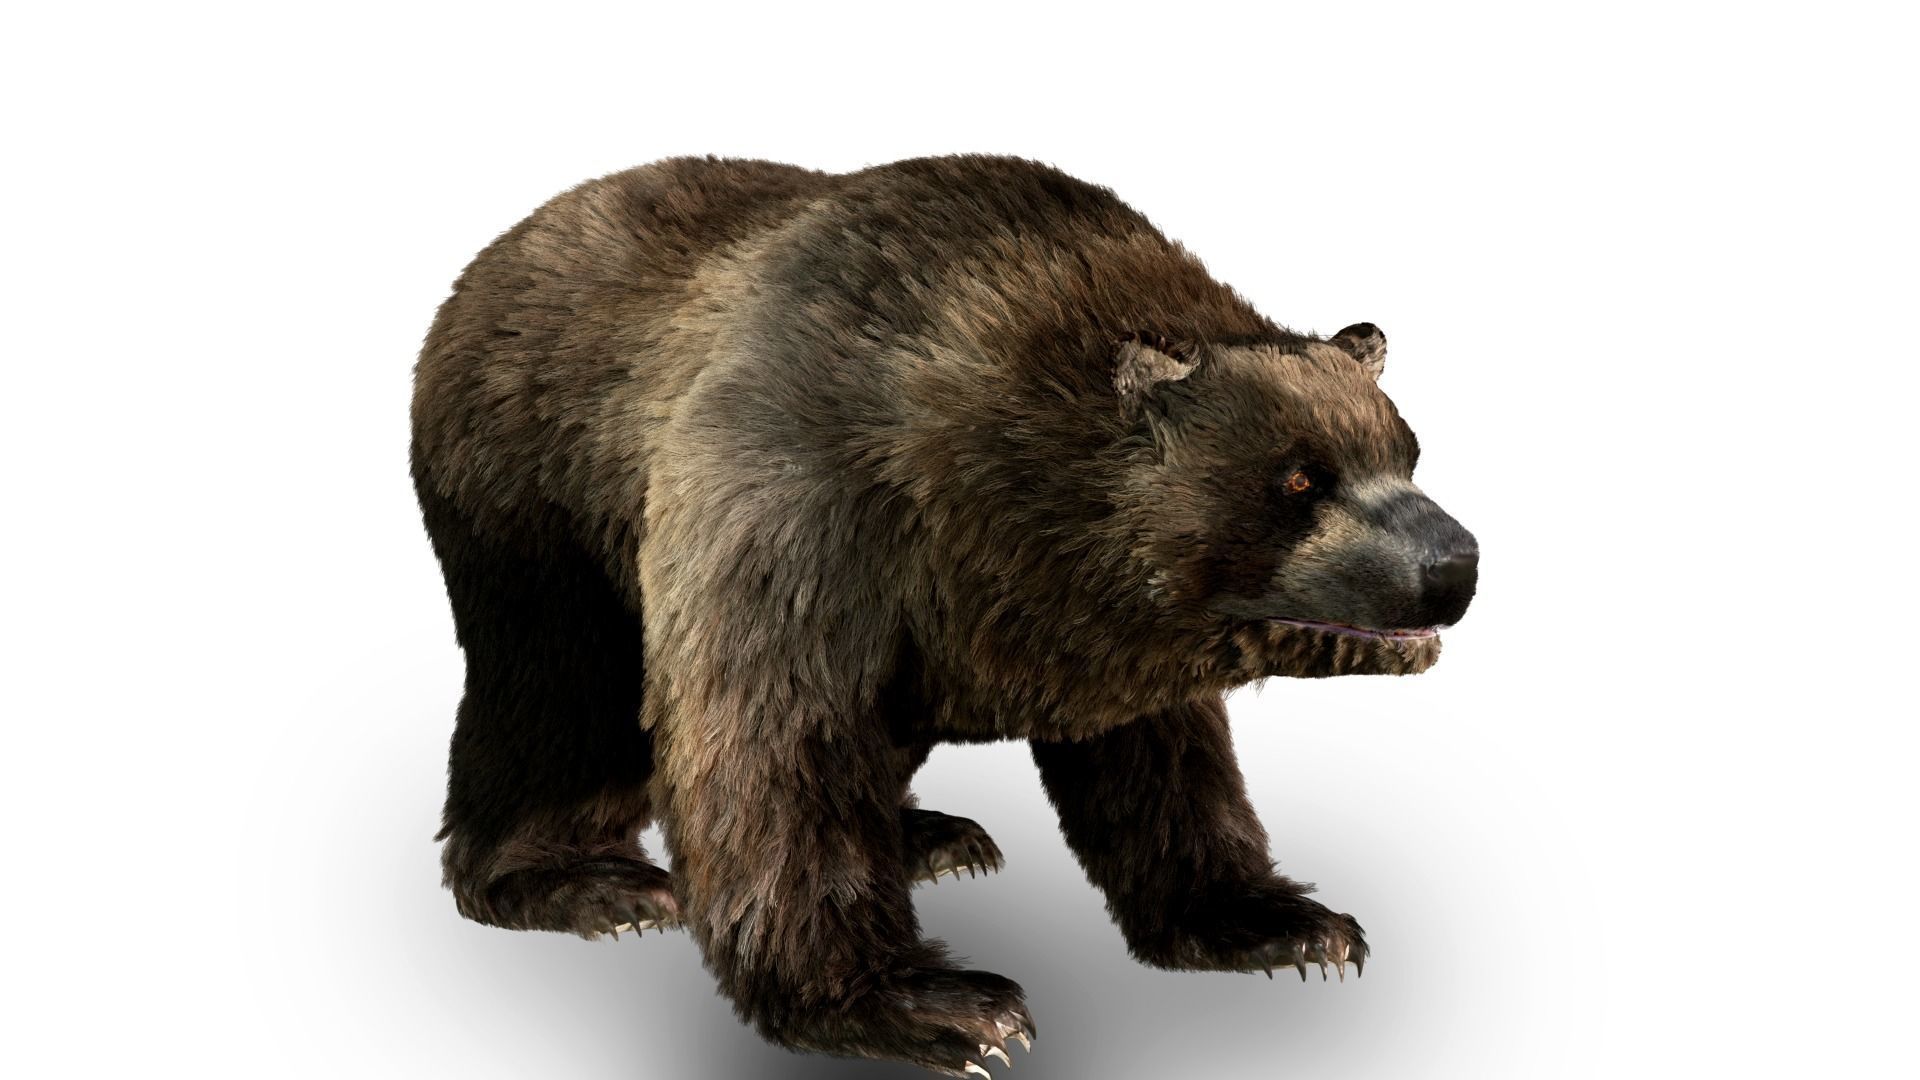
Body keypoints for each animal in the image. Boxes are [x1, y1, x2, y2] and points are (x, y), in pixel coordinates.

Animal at [410, 154, 1478, 1076]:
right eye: (1298, 478)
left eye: (1405, 451)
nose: (1453, 567)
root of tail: (497, 253)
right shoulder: (806, 490)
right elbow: (773, 737)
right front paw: (941, 1006)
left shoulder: (1099, 624)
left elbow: (1165, 761)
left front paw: (1286, 925)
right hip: (534, 502)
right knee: (564, 699)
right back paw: (586, 882)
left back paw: (930, 835)